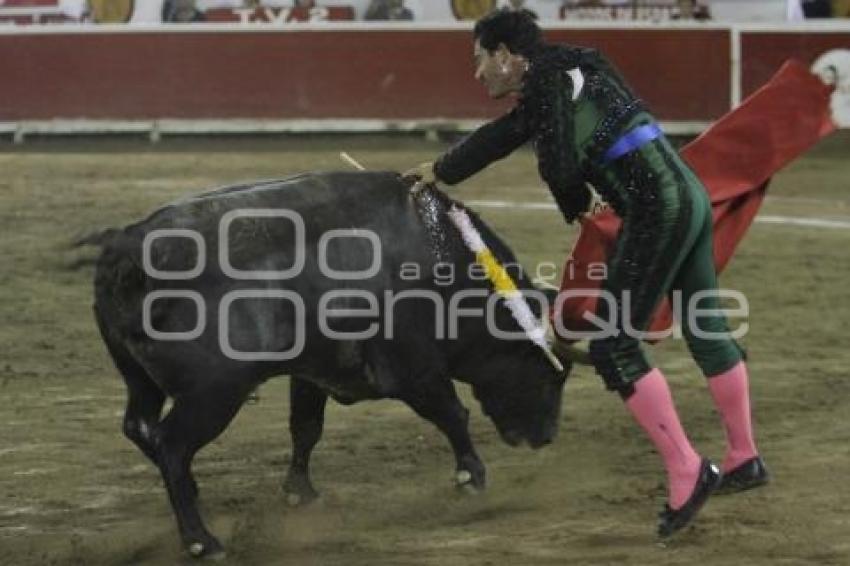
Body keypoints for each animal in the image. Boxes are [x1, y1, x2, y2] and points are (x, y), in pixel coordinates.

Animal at [89, 172, 568, 560]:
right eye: (551, 374)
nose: (546, 436)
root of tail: (126, 251)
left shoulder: (312, 371)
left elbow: (306, 427)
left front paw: (300, 493)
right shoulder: (413, 366)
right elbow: (453, 414)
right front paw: (472, 477)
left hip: (142, 381)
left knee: (140, 428)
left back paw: (193, 495)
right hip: (214, 394)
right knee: (171, 445)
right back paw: (201, 541)